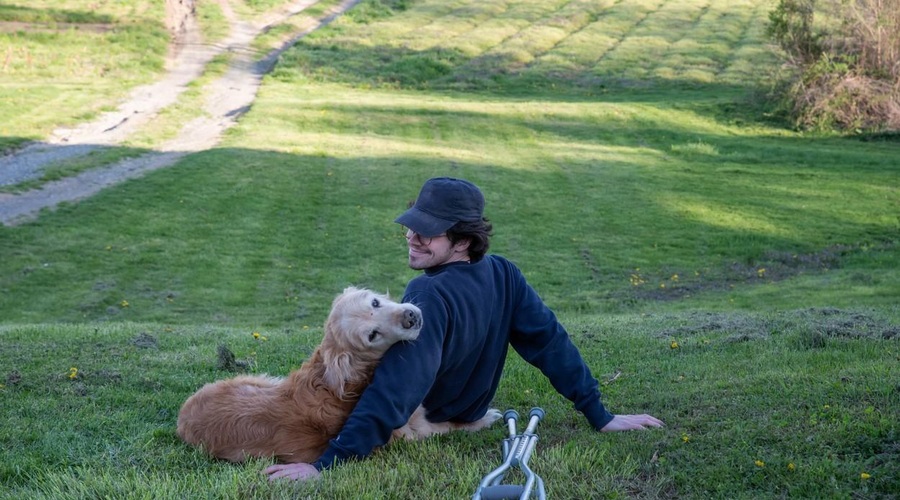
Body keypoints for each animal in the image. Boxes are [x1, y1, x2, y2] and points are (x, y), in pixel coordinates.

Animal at [176, 286, 500, 464]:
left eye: (375, 303)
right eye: (372, 335)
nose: (411, 317)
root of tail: (182, 419)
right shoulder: (414, 432)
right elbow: (451, 426)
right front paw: (486, 419)